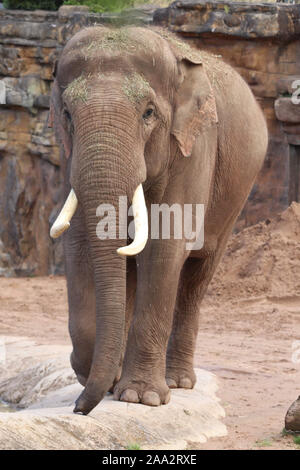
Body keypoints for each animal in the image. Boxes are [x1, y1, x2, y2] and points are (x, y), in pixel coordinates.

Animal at [48, 25, 268, 414]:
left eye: (149, 113)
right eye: (68, 115)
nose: (78, 409)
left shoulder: (194, 148)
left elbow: (164, 249)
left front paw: (142, 398)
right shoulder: (69, 155)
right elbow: (81, 245)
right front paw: (104, 382)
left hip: (236, 197)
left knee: (197, 276)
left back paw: (177, 382)